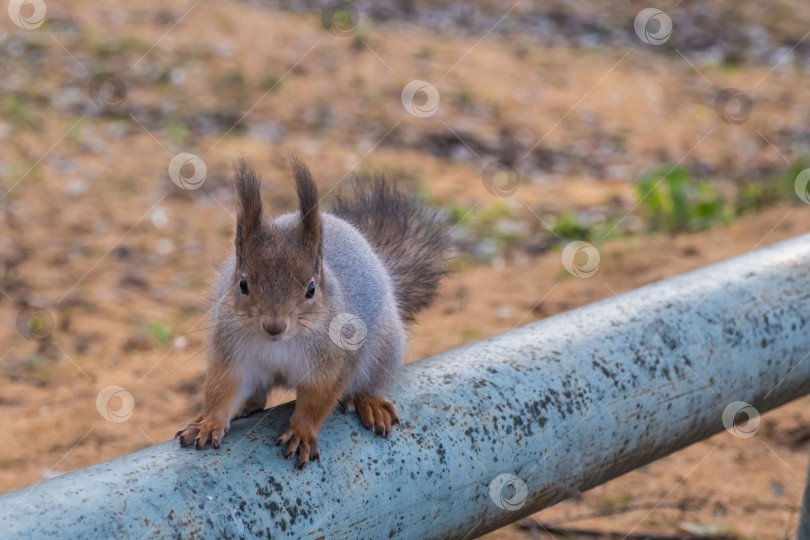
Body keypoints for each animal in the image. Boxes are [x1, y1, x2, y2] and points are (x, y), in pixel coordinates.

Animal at [176, 156, 448, 468]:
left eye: (311, 289)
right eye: (243, 284)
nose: (274, 326)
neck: (279, 343)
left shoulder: (334, 362)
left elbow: (317, 402)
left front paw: (302, 433)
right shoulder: (230, 353)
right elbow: (221, 390)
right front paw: (209, 423)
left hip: (384, 349)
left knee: (372, 381)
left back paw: (369, 402)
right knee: (257, 397)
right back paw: (245, 405)